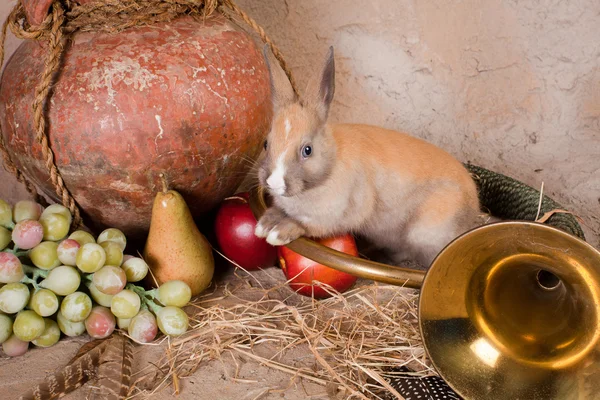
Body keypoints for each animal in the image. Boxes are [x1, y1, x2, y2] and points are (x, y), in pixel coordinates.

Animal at [255, 47, 480, 268]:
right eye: (266, 143)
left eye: (307, 150)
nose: (273, 182)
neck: (330, 167)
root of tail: (474, 208)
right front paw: (264, 225)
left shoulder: (331, 217)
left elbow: (306, 225)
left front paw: (278, 232)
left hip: (423, 233)